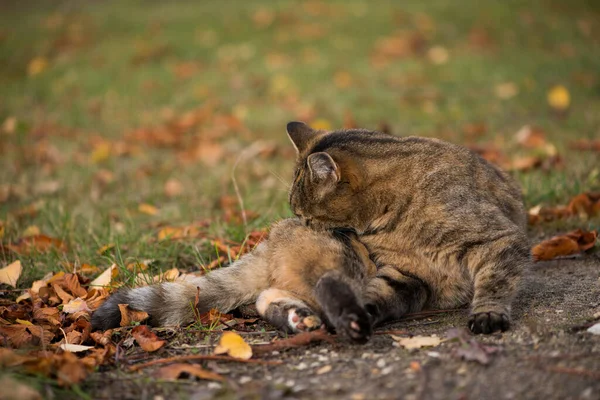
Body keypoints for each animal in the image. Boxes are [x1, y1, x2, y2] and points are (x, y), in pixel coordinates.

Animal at [286, 120, 528, 332]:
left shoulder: (498, 238)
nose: (301, 225)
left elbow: (495, 281)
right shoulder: (406, 272)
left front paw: (488, 312)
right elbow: (378, 293)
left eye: (305, 217)